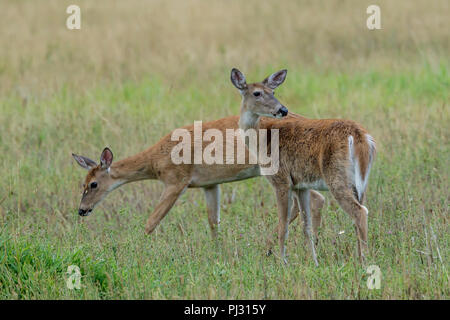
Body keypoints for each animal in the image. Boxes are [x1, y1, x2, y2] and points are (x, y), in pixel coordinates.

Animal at [72, 115, 326, 245]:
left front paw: (136, 250)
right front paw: (217, 252)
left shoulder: (176, 181)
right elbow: (213, 222)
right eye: (82, 184)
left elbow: (151, 221)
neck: (155, 161)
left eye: (93, 184)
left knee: (315, 198)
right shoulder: (209, 184)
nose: (82, 210)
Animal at [230, 66, 374, 264]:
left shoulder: (281, 180)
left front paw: (282, 262)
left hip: (337, 177)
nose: (283, 109)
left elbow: (283, 226)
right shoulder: (301, 185)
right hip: (361, 184)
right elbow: (306, 227)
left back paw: (364, 262)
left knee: (360, 213)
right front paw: (314, 262)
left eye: (273, 92)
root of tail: (360, 136)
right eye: (257, 93)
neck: (261, 140)